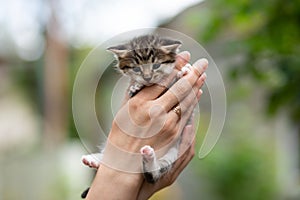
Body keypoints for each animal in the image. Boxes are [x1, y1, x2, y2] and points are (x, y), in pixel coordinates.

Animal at [81, 34, 191, 198]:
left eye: (156, 66)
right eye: (137, 68)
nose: (147, 77)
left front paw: (184, 70)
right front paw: (136, 86)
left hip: (175, 151)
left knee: (155, 173)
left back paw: (148, 157)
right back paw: (96, 159)